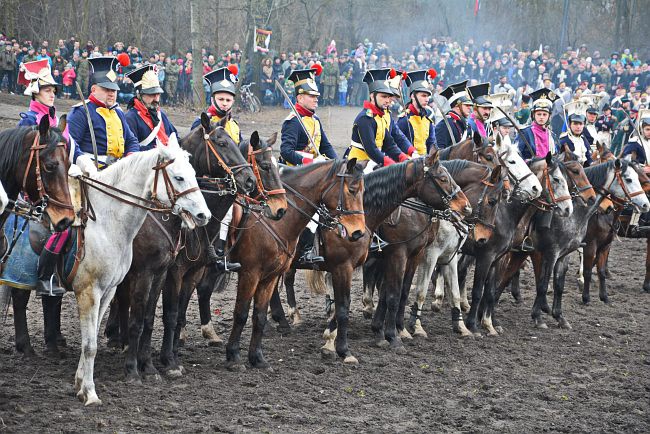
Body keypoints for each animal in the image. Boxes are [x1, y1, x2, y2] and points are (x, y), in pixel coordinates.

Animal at [73, 137, 210, 406]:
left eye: (194, 174)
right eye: (179, 177)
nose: (203, 215)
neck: (105, 220)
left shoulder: (157, 275)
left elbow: (148, 319)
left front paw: (151, 366)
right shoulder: (132, 278)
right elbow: (132, 323)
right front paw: (131, 372)